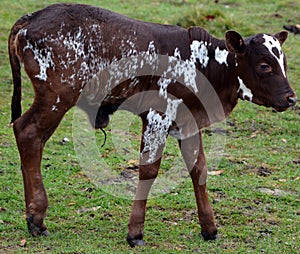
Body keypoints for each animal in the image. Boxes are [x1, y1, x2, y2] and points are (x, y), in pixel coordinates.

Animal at [8, 3, 296, 246]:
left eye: (283, 63)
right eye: (264, 66)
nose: (291, 98)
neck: (203, 63)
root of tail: (33, 17)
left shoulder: (189, 123)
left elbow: (199, 169)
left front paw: (209, 228)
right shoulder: (157, 116)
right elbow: (148, 170)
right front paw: (135, 232)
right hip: (57, 97)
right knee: (29, 133)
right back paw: (36, 219)